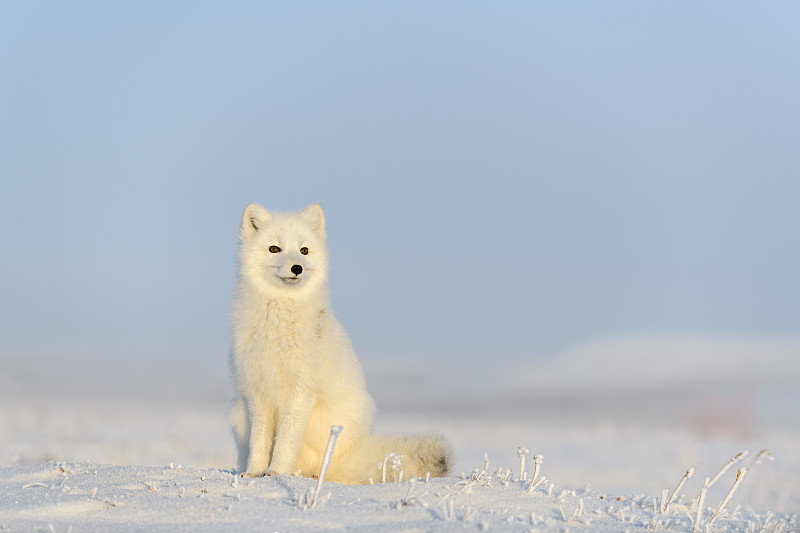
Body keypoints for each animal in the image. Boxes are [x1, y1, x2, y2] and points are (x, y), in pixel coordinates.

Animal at [228, 203, 450, 482]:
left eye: (304, 250)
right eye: (274, 249)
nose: (297, 267)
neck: (279, 324)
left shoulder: (301, 391)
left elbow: (286, 440)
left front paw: (276, 471)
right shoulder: (257, 390)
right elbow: (259, 441)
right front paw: (254, 472)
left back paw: (312, 475)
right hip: (237, 412)